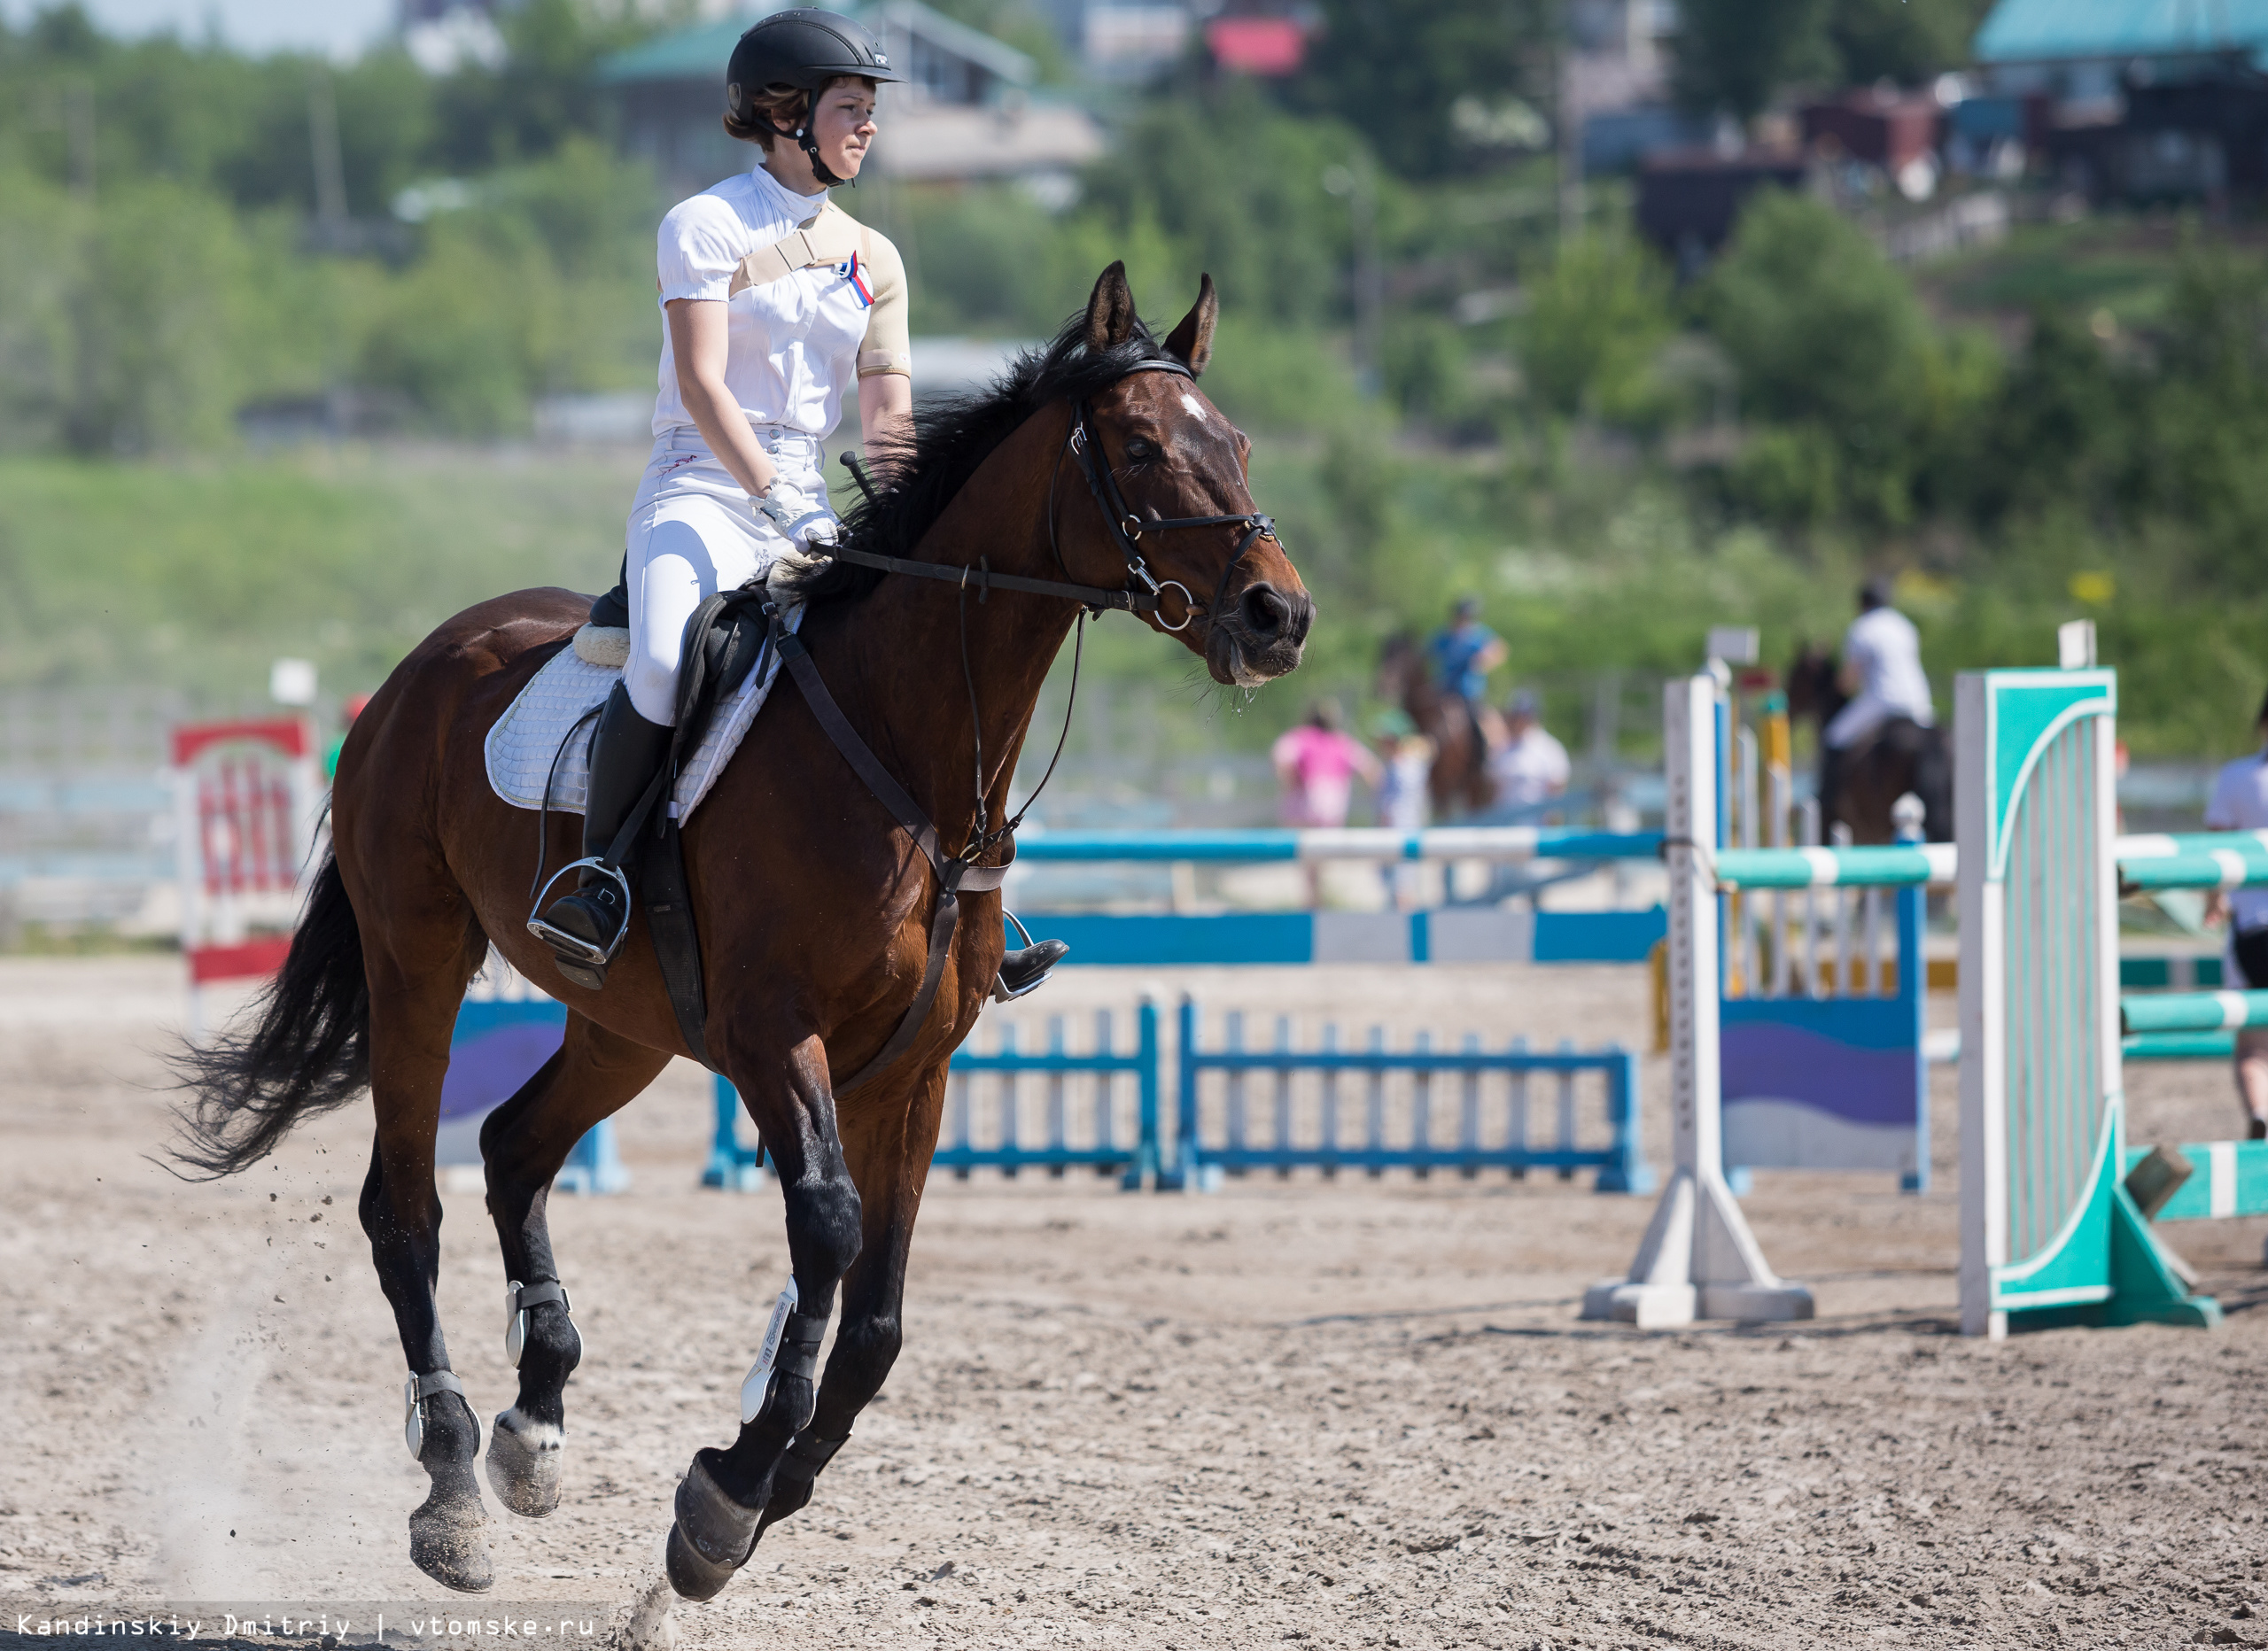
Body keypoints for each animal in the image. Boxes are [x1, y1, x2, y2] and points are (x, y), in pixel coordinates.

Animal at [167, 267, 1315, 1596]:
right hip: (421, 964)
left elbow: (877, 1320)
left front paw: (753, 1495)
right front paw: (727, 1492)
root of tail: (422, 666)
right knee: (406, 1207)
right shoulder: (774, 1035)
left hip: (626, 1025)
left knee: (513, 1147)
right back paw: (452, 1484)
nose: (1278, 615)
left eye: (1238, 445)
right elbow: (827, 1227)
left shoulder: (913, 1072)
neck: (909, 756)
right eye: (1139, 449)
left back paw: (534, 1425)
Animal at [1370, 625, 1496, 820]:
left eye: (1403, 657)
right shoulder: (1431, 789)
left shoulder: (1443, 785)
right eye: (1383, 653)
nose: (1383, 686)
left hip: (1479, 788)